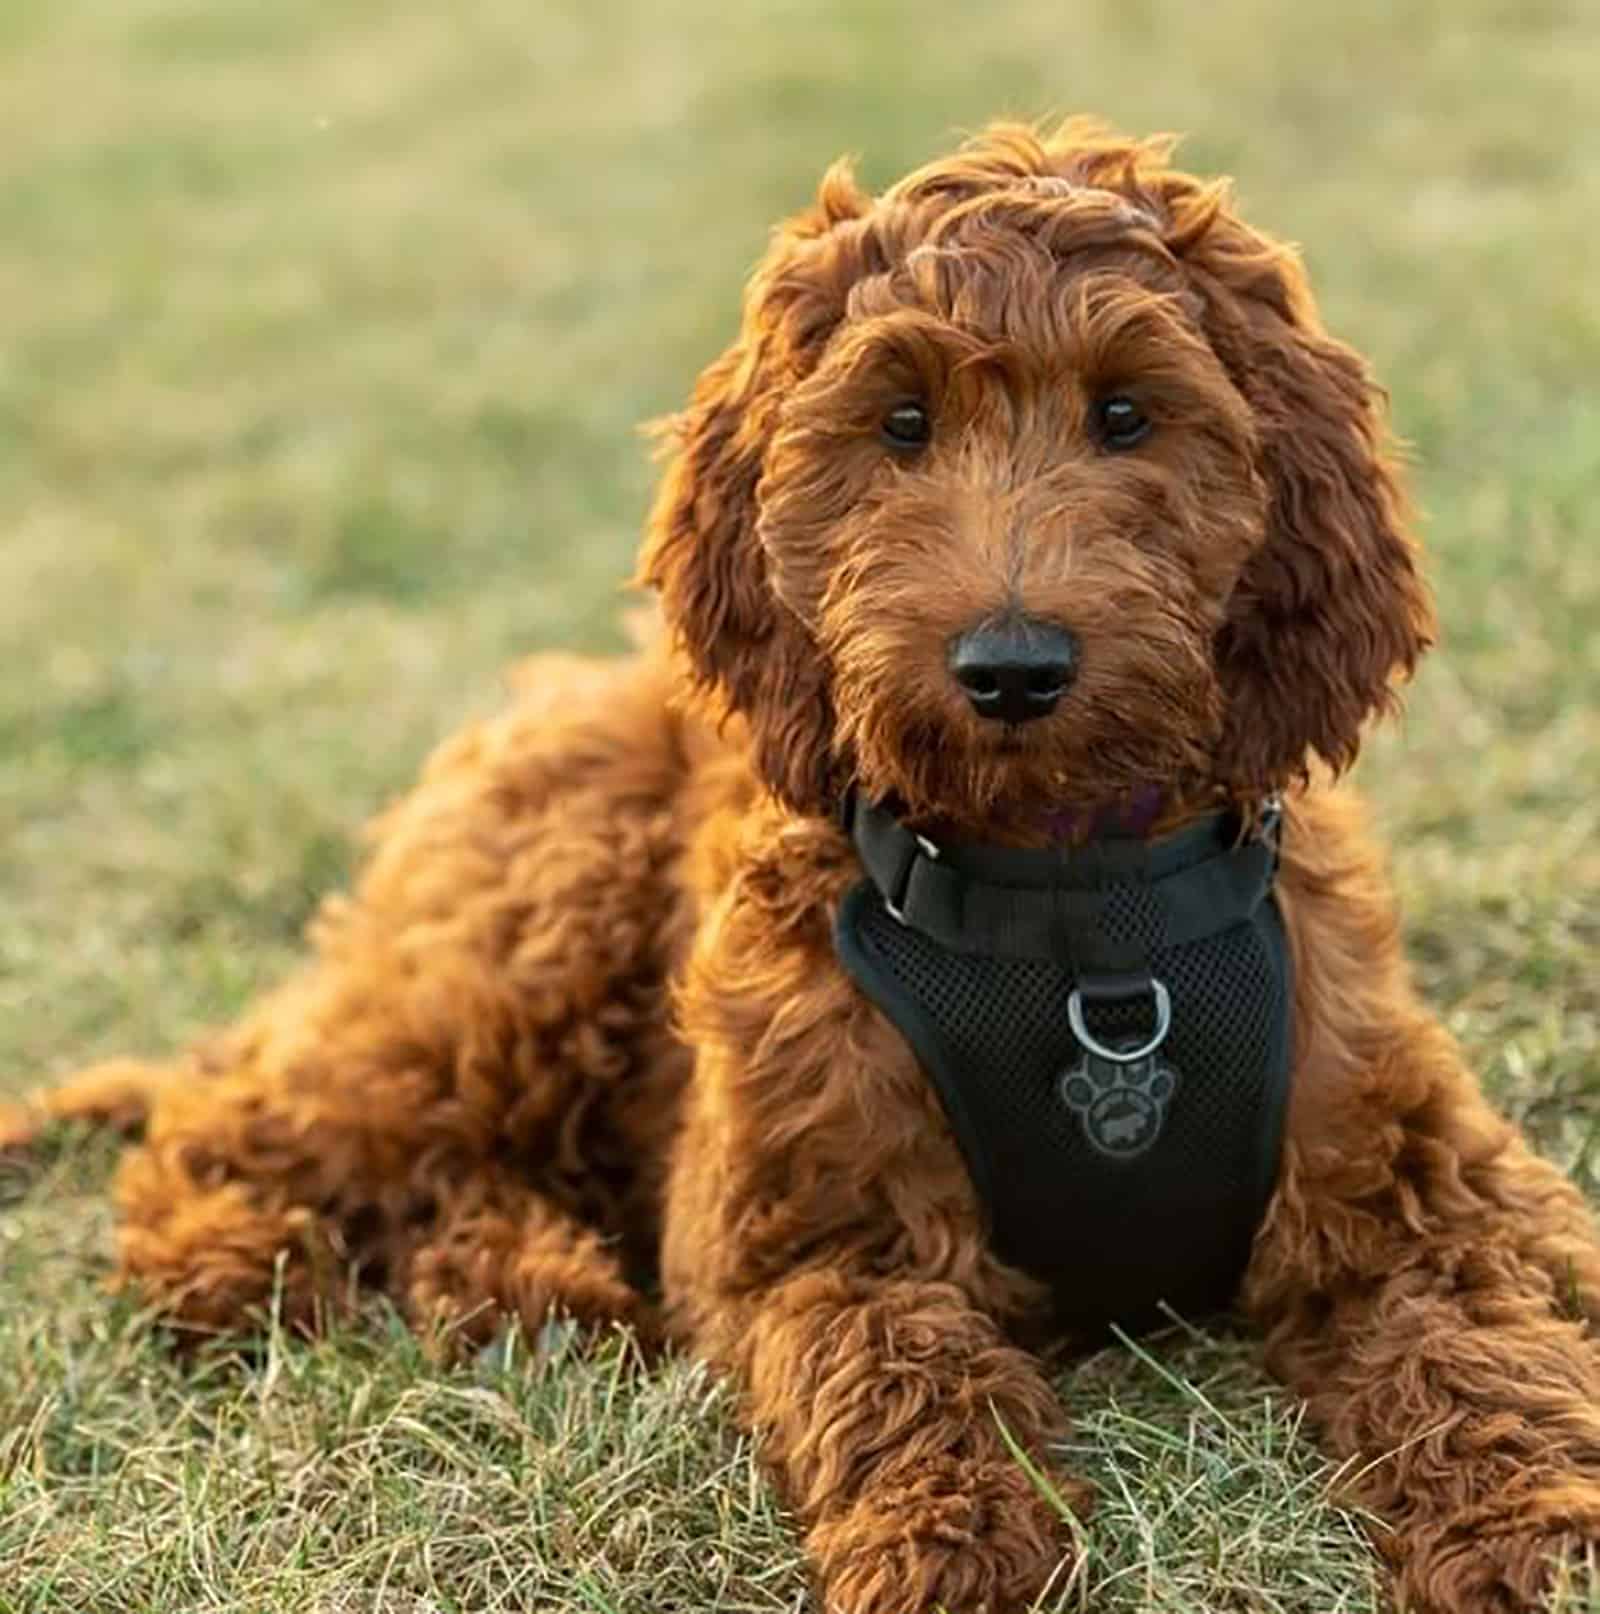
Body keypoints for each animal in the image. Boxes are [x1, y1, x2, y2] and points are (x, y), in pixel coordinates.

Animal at [9, 122, 1600, 1614]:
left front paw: (1533, 1530)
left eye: (1127, 414)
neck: (1076, 911)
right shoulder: (810, 1227)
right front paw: (952, 1549)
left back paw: (529, 1280)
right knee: (266, 1110)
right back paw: (246, 1261)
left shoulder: (1426, 1180)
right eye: (901, 423)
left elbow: (1482, 1345)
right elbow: (894, 1363)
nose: (1010, 670)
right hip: (532, 921)